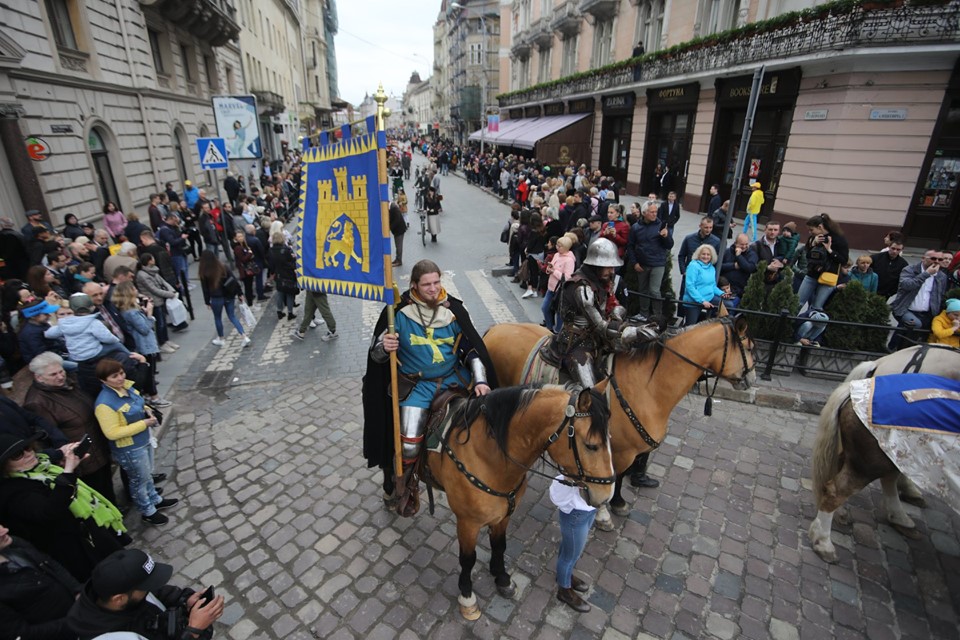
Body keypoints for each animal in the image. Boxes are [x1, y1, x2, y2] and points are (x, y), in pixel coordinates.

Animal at [428, 382, 616, 616]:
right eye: (591, 445)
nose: (607, 495)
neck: (487, 457)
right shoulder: (467, 522)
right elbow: (468, 559)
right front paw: (467, 596)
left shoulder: (504, 514)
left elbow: (499, 545)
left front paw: (502, 579)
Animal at [488, 316, 756, 528]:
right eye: (749, 347)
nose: (751, 380)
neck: (648, 386)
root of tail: (495, 329)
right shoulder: (616, 450)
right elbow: (613, 476)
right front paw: (603, 513)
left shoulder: (626, 450)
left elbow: (621, 475)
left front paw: (618, 503)